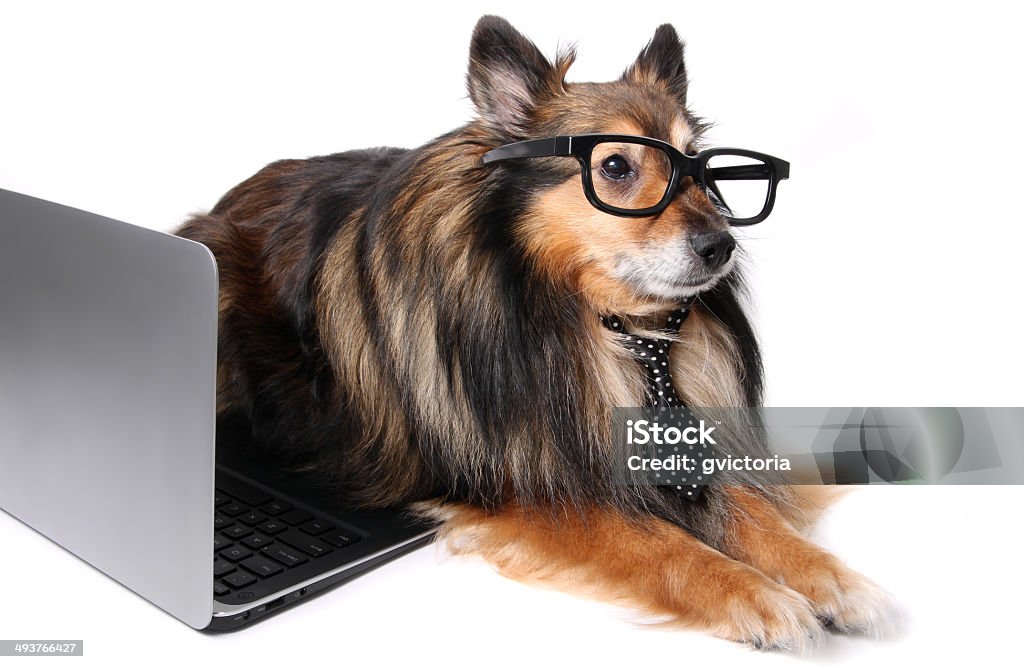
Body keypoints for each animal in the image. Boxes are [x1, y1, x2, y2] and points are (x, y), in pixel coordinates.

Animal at [176, 16, 897, 651]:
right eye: (616, 167)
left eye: (700, 169)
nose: (720, 246)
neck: (601, 323)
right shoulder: (529, 486)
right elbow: (659, 542)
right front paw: (755, 595)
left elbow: (754, 509)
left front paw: (831, 579)